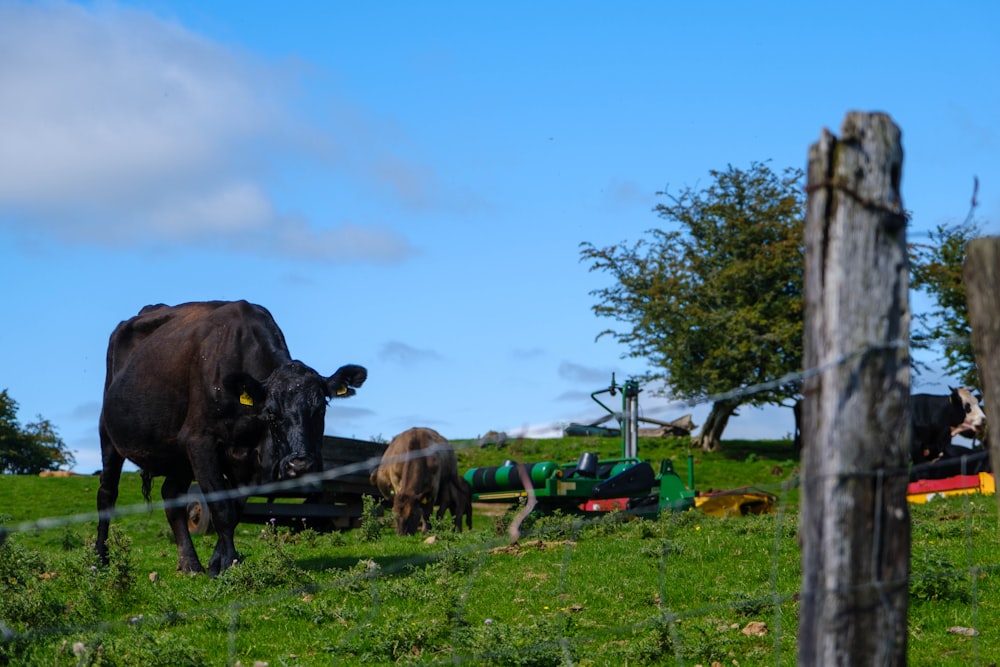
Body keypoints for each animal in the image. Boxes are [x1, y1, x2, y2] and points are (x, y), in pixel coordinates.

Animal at [94, 300, 366, 576]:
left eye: (321, 408)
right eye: (272, 413)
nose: (300, 464)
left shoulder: (249, 460)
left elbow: (235, 510)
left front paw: (218, 563)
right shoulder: (201, 442)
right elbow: (221, 508)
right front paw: (229, 564)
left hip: (180, 457)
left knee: (171, 495)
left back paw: (189, 563)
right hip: (109, 434)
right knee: (107, 494)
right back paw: (100, 558)